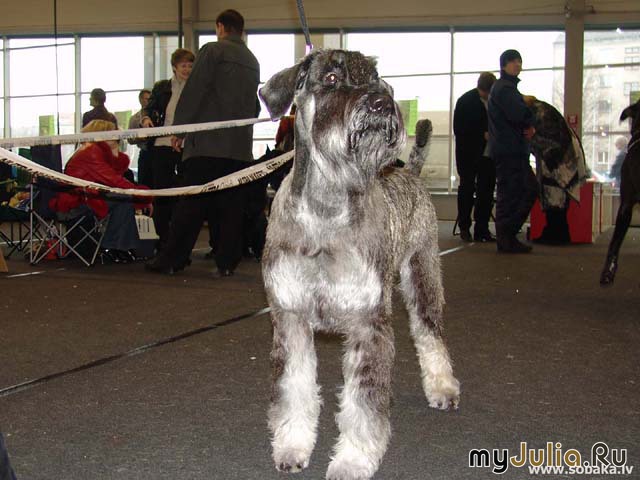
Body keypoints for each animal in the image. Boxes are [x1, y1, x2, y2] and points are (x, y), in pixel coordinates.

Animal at [259, 49, 460, 480]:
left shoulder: (368, 322)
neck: (325, 213)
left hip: (422, 276)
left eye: (376, 78)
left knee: (430, 333)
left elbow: (363, 405)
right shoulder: (290, 319)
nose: (382, 103)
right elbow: (294, 390)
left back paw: (442, 387)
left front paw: (351, 462)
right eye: (332, 78)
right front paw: (292, 447)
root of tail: (408, 171)